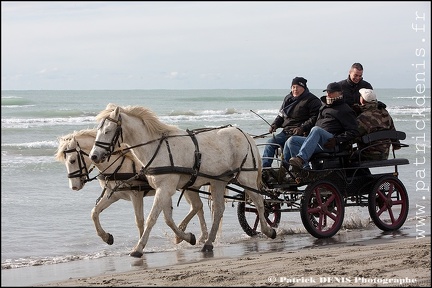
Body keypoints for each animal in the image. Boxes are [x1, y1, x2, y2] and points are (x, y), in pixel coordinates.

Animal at [54, 129, 210, 246]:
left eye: (72, 160)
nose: (74, 186)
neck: (121, 165)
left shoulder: (136, 194)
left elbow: (139, 220)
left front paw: (141, 244)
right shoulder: (114, 195)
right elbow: (95, 212)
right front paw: (106, 237)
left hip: (187, 188)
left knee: (197, 206)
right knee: (198, 207)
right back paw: (201, 236)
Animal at [89, 103, 276, 256]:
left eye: (107, 131)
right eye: (97, 130)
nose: (94, 156)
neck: (156, 148)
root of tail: (244, 134)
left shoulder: (164, 188)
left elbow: (152, 218)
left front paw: (138, 248)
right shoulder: (162, 189)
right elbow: (167, 219)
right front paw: (188, 237)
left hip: (246, 177)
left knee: (259, 202)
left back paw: (268, 230)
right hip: (219, 181)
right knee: (218, 210)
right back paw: (208, 243)